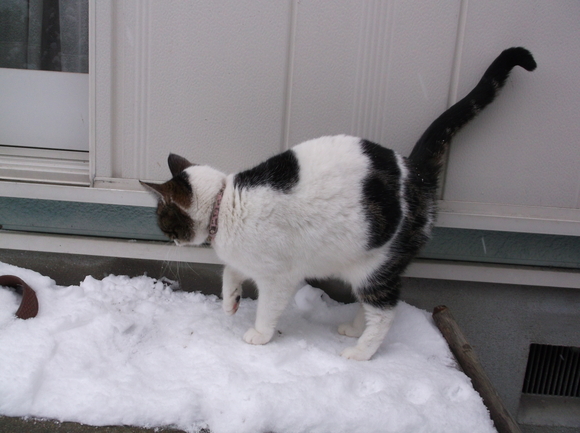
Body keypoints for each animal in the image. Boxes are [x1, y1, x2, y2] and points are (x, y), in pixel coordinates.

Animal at [140, 45, 536, 360]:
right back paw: (354, 329)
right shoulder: (242, 259)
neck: (226, 205)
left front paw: (259, 335)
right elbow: (229, 273)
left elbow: (267, 307)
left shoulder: (279, 276)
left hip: (378, 266)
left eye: (163, 221)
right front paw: (230, 301)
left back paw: (361, 351)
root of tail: (415, 172)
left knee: (386, 311)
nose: (165, 239)